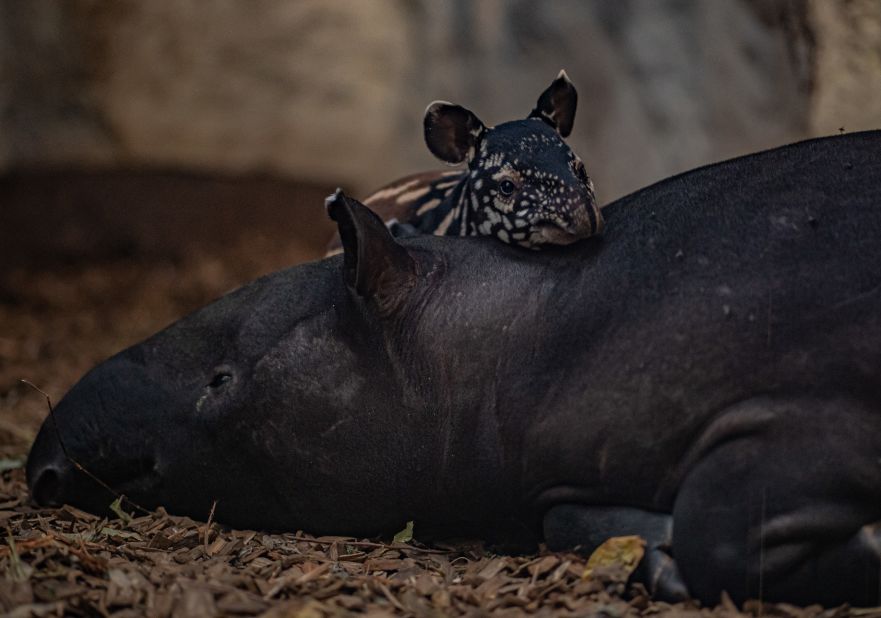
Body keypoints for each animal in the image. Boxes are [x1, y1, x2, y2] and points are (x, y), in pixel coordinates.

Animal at [24, 131, 880, 608]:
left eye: (220, 381)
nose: (44, 467)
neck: (534, 327)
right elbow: (573, 520)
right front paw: (649, 549)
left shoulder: (816, 381)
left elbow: (718, 530)